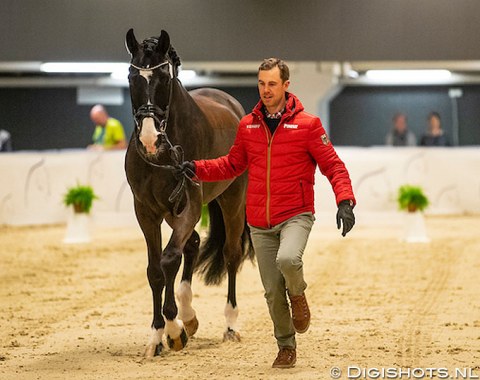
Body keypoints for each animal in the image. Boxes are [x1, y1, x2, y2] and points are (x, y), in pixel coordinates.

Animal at [124, 29, 253, 356]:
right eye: (132, 76)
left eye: (164, 78)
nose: (150, 139)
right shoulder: (147, 211)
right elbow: (155, 270)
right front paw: (157, 337)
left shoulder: (190, 206)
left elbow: (169, 259)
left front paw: (173, 331)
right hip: (173, 211)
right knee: (192, 243)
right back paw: (189, 316)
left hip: (232, 200)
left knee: (231, 254)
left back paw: (229, 324)